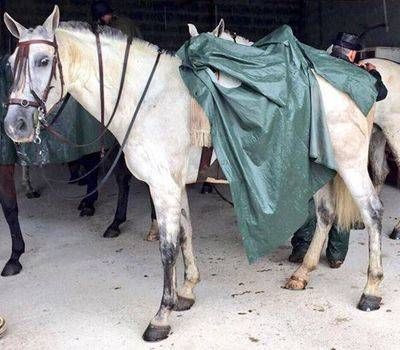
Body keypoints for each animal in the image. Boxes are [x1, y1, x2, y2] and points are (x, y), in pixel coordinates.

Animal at [3, 6, 382, 342]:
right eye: (10, 64)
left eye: (44, 61)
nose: (15, 125)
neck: (147, 99)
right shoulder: (174, 186)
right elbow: (185, 234)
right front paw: (186, 292)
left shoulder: (162, 187)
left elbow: (168, 247)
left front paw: (161, 317)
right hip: (321, 170)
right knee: (326, 215)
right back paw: (302, 274)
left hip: (350, 166)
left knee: (372, 213)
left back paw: (371, 291)